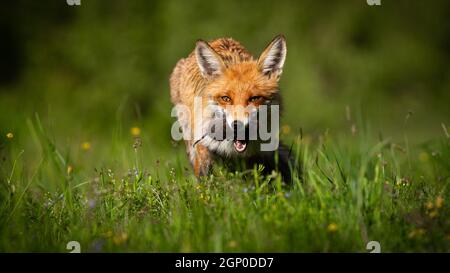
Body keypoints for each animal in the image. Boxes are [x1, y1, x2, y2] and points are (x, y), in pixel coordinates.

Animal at [169, 35, 292, 181]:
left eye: (254, 98)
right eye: (226, 98)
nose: (238, 125)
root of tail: (219, 39)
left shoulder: (252, 153)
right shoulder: (201, 140)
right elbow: (205, 175)